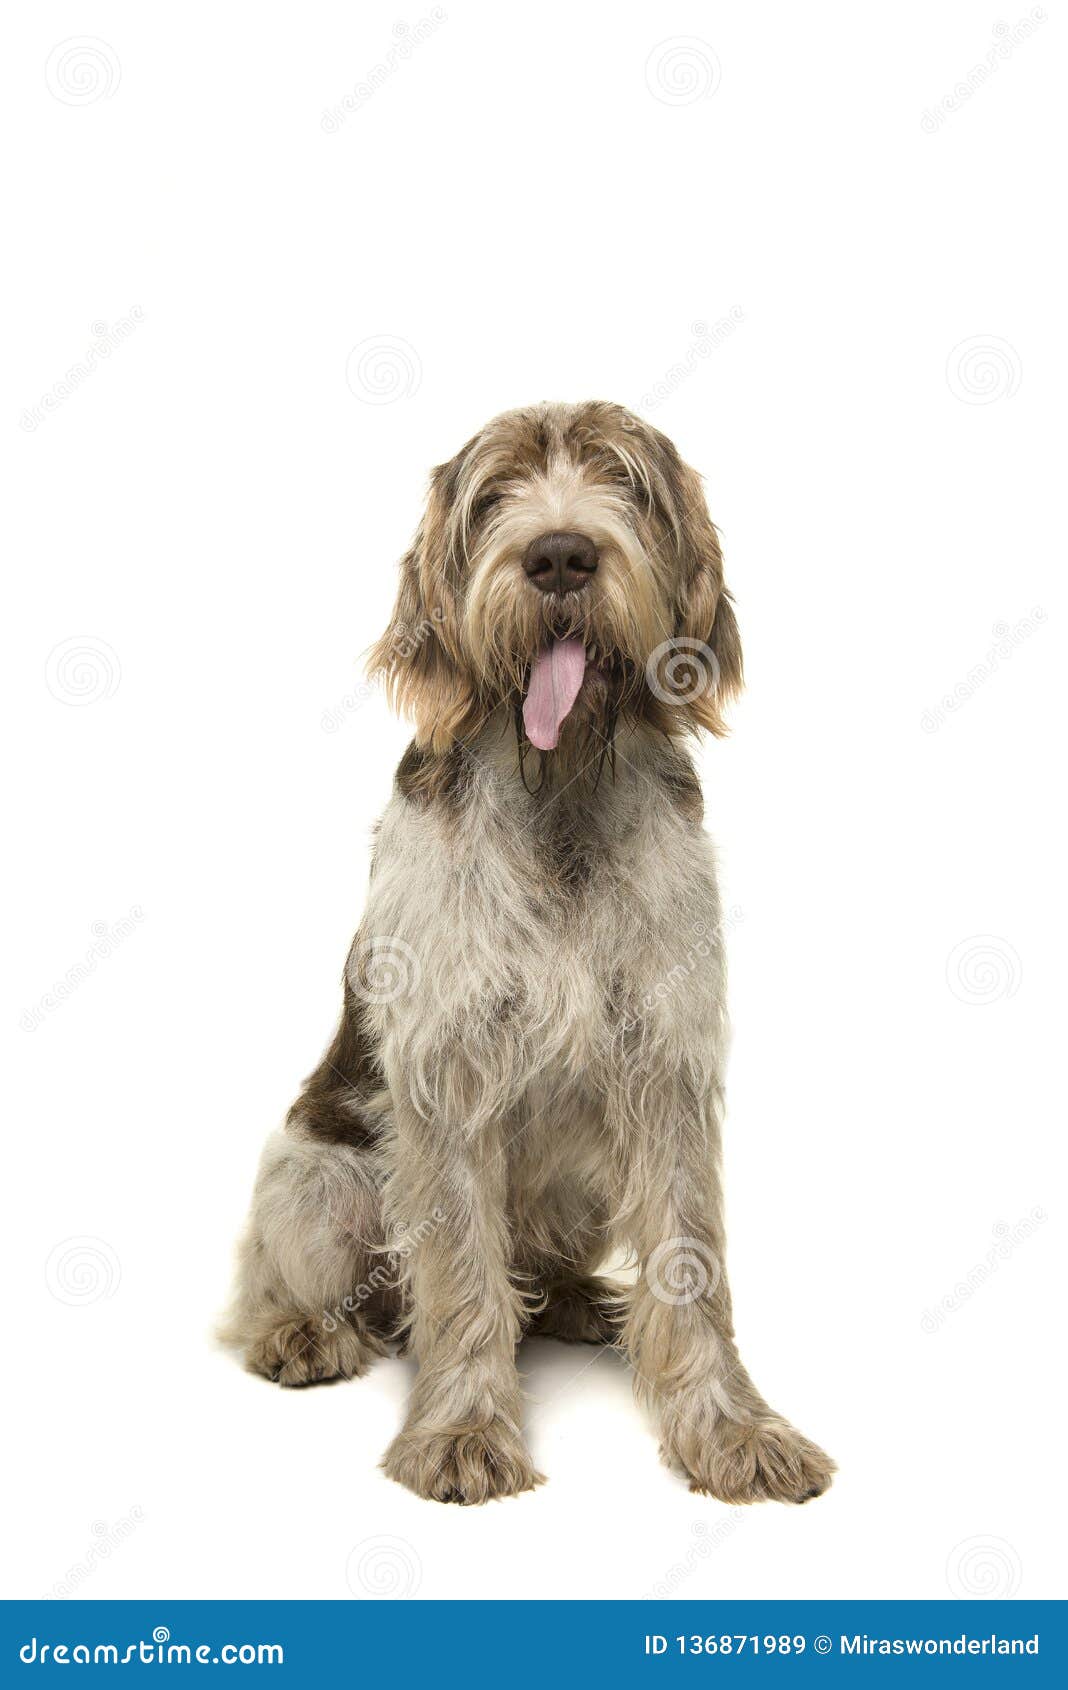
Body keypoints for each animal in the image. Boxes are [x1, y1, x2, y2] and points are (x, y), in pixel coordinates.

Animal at [221, 398, 831, 1507]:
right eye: (496, 492)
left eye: (623, 479)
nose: (558, 555)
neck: (561, 790)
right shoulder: (448, 1072)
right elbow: (462, 1268)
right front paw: (463, 1429)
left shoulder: (668, 1064)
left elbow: (691, 1259)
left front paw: (730, 1429)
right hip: (315, 1177)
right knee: (285, 1282)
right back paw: (301, 1329)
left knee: (540, 1275)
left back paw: (582, 1300)